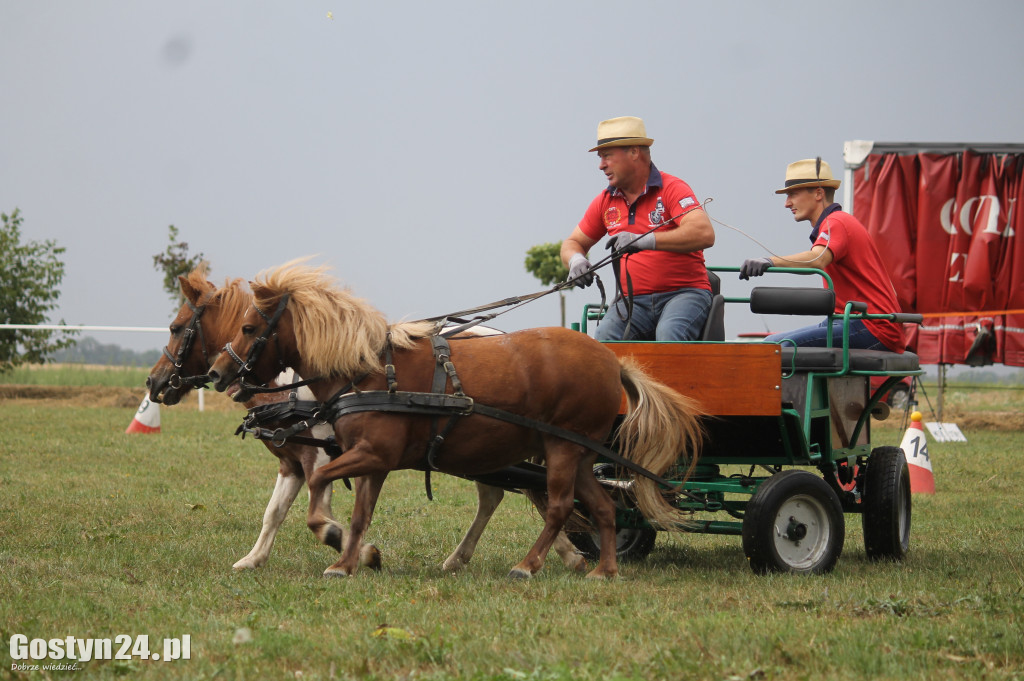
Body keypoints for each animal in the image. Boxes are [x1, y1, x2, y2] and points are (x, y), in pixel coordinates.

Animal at [148, 266, 589, 573]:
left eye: (175, 327)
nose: (154, 383)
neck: (293, 379)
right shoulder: (291, 460)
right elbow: (273, 512)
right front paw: (253, 559)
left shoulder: (319, 455)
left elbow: (321, 511)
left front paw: (358, 551)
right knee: (499, 494)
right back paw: (472, 558)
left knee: (527, 492)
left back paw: (562, 555)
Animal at [207, 260, 704, 577]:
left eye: (250, 328)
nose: (217, 373)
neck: (369, 370)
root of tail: (611, 361)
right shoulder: (372, 460)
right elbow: (360, 513)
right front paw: (348, 561)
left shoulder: (366, 454)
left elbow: (318, 488)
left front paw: (335, 538)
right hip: (577, 453)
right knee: (601, 506)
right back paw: (603, 569)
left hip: (563, 450)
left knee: (559, 506)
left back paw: (528, 566)